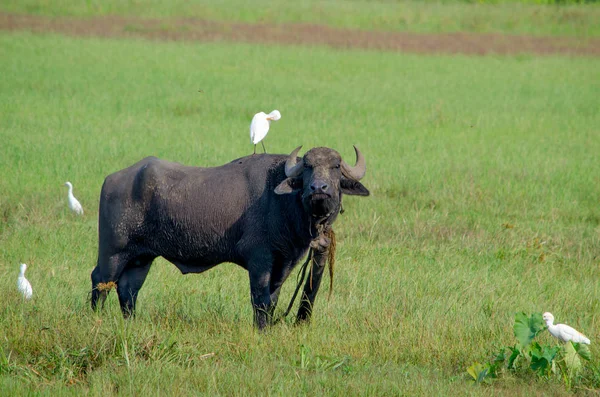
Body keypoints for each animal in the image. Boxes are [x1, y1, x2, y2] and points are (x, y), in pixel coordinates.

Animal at [91, 145, 368, 328]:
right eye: (308, 168)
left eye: (335, 167)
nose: (318, 188)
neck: (283, 203)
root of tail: (112, 179)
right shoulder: (259, 259)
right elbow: (260, 299)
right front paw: (260, 329)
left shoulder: (285, 262)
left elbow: (273, 298)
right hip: (112, 253)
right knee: (100, 281)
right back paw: (95, 319)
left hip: (141, 258)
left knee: (128, 289)